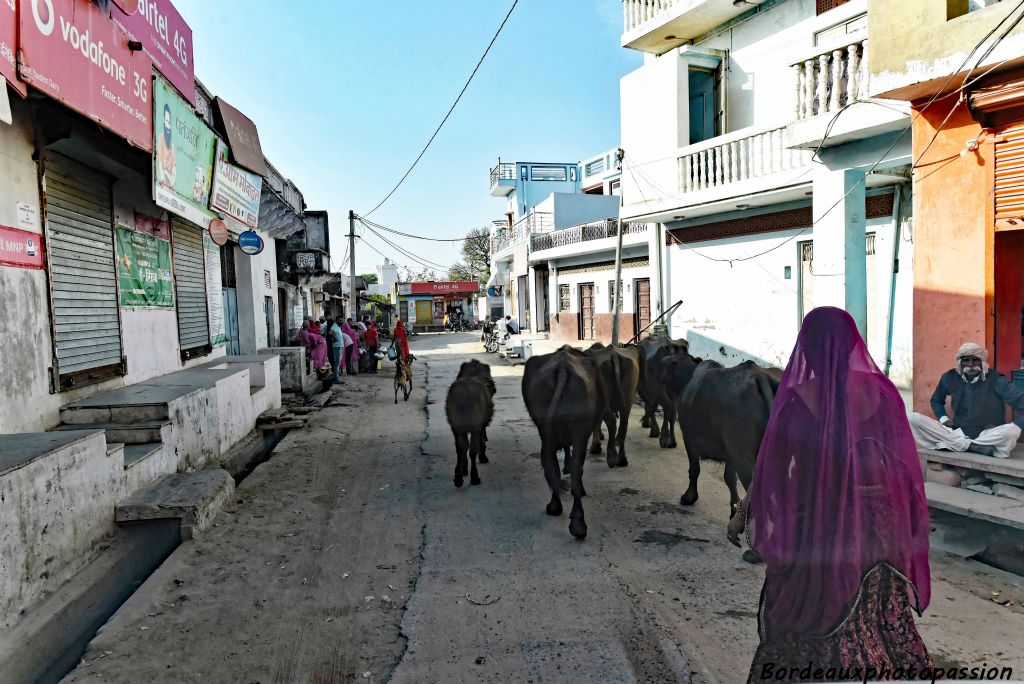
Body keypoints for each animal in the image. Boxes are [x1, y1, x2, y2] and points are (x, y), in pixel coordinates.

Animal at [524, 348, 602, 540]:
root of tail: (563, 367)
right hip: (580, 431)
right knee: (576, 467)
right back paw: (577, 522)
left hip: (545, 429)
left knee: (551, 463)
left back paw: (556, 507)